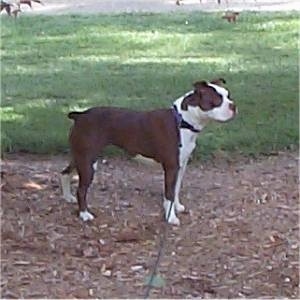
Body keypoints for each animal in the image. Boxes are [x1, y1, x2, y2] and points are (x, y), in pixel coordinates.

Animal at [60, 78, 237, 224]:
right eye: (217, 100)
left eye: (228, 95)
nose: (233, 105)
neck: (182, 121)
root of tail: (80, 115)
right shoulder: (171, 167)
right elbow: (169, 192)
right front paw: (171, 218)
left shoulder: (181, 165)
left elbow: (175, 190)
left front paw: (175, 207)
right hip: (88, 162)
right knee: (81, 190)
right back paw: (84, 214)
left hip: (81, 156)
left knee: (65, 172)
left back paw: (67, 197)